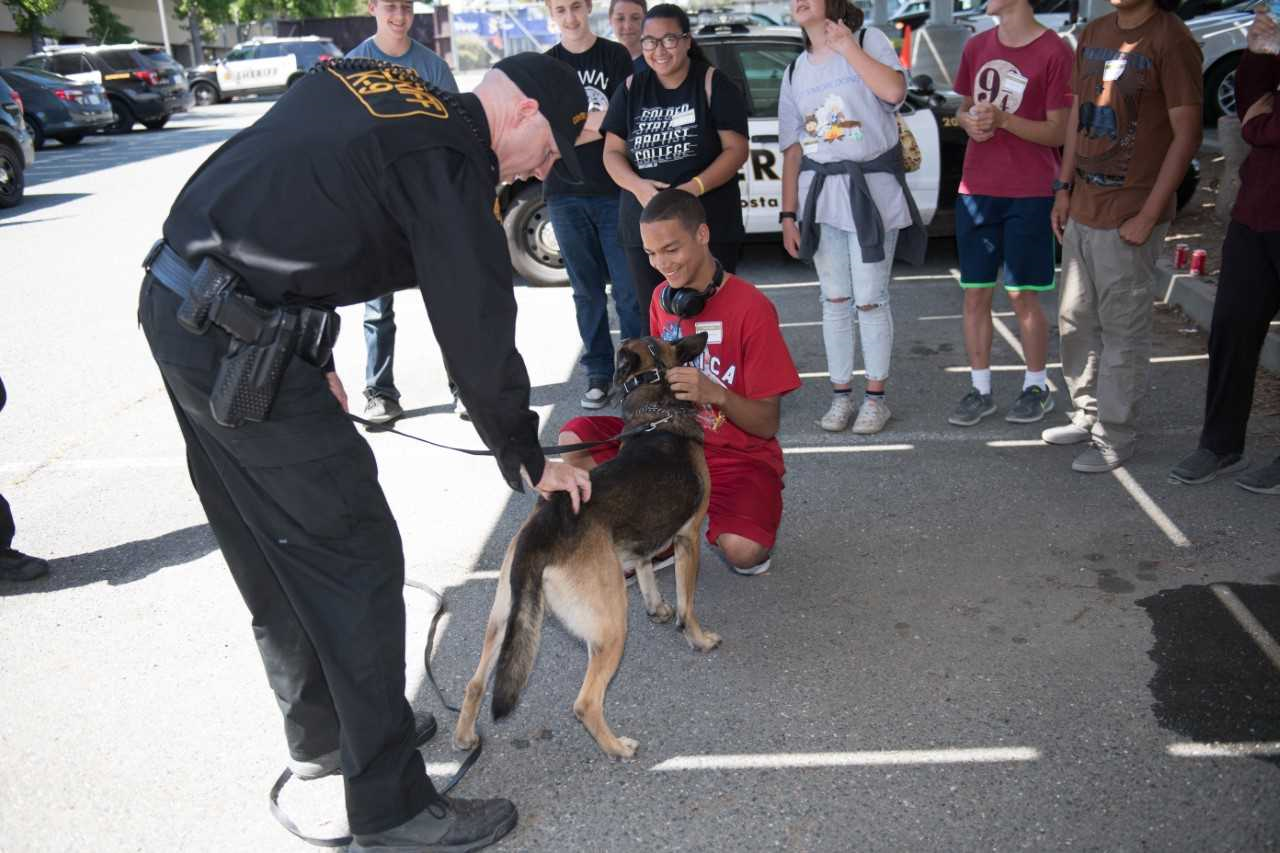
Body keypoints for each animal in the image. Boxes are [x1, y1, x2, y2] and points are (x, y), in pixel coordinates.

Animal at [455, 333, 721, 758]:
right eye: (672, 341)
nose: (701, 335)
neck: (656, 416)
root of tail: (542, 529)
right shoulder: (689, 538)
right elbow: (688, 604)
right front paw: (697, 637)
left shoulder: (640, 539)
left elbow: (645, 568)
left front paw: (657, 607)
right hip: (611, 627)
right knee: (585, 703)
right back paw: (617, 747)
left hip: (503, 619)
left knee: (476, 681)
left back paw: (464, 737)